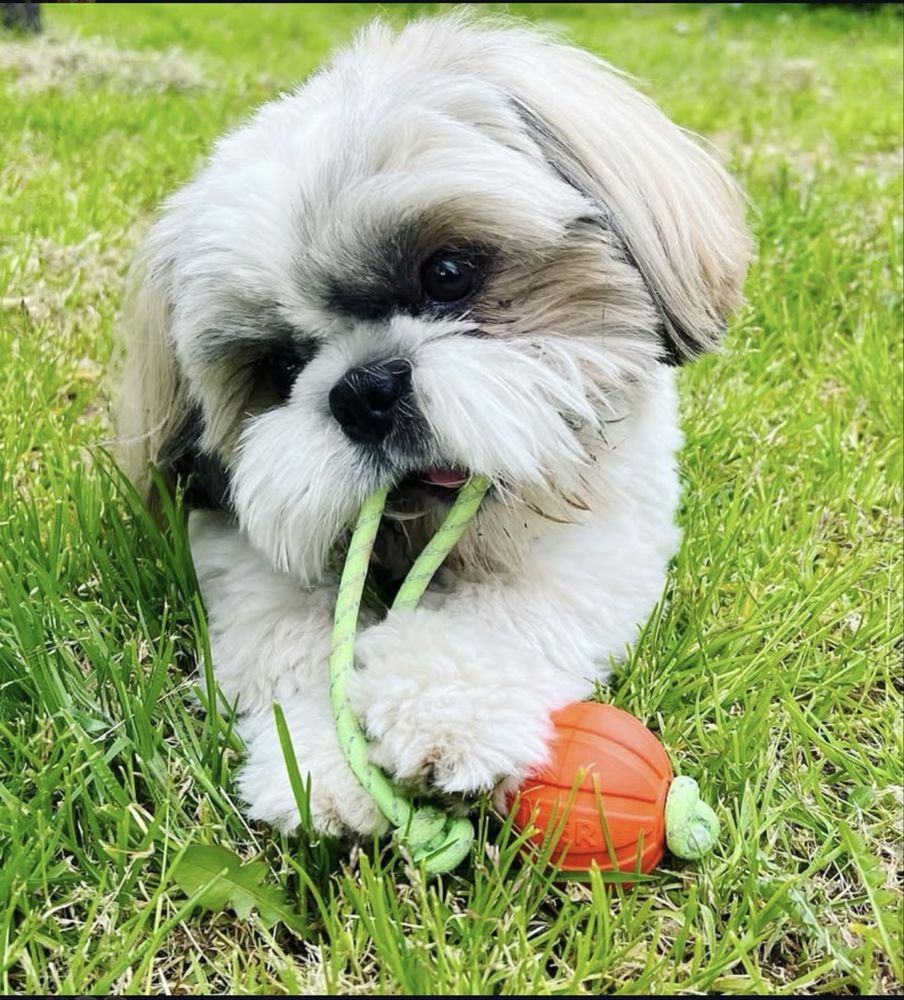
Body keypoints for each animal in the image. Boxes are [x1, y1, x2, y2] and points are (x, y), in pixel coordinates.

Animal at [117, 13, 750, 836]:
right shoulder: (242, 547)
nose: (363, 391)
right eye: (281, 367)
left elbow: (500, 615)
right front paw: (321, 762)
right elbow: (290, 643)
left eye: (447, 274)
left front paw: (446, 717)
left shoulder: (600, 531)